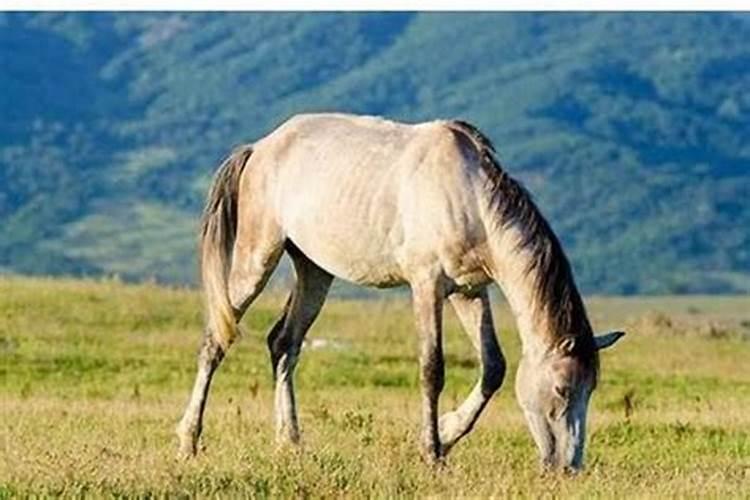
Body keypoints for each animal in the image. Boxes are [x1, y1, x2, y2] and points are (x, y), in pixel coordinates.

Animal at [176, 113, 625, 471]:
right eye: (562, 389)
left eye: (592, 389)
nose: (569, 467)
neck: (469, 197)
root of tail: (260, 148)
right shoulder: (427, 285)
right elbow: (432, 368)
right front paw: (432, 452)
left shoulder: (469, 291)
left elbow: (493, 367)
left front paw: (447, 431)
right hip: (258, 257)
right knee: (216, 339)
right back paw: (189, 441)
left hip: (314, 270)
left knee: (284, 343)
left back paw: (290, 442)